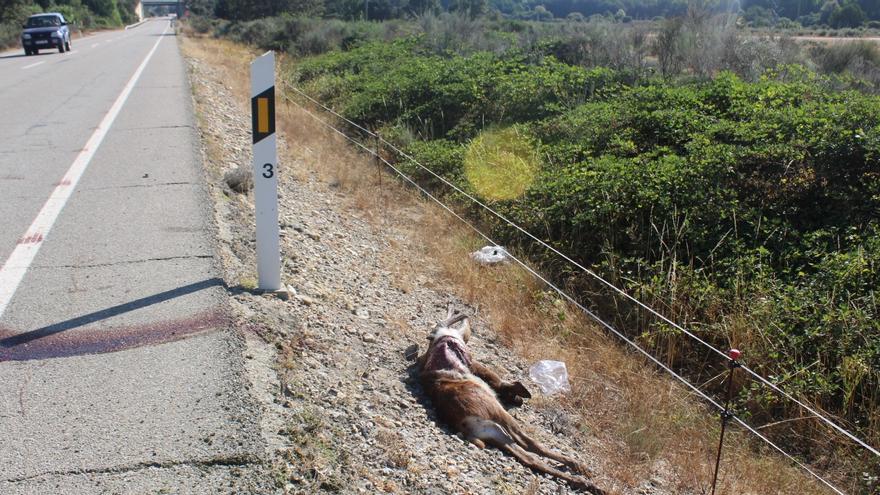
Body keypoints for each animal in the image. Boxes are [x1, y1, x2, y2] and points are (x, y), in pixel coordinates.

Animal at [412, 308, 604, 494]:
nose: (461, 313)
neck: (443, 342)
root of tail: (464, 422)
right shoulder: (472, 362)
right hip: (499, 416)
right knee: (530, 445)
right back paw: (581, 470)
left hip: (494, 432)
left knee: (528, 458)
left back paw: (587, 483)